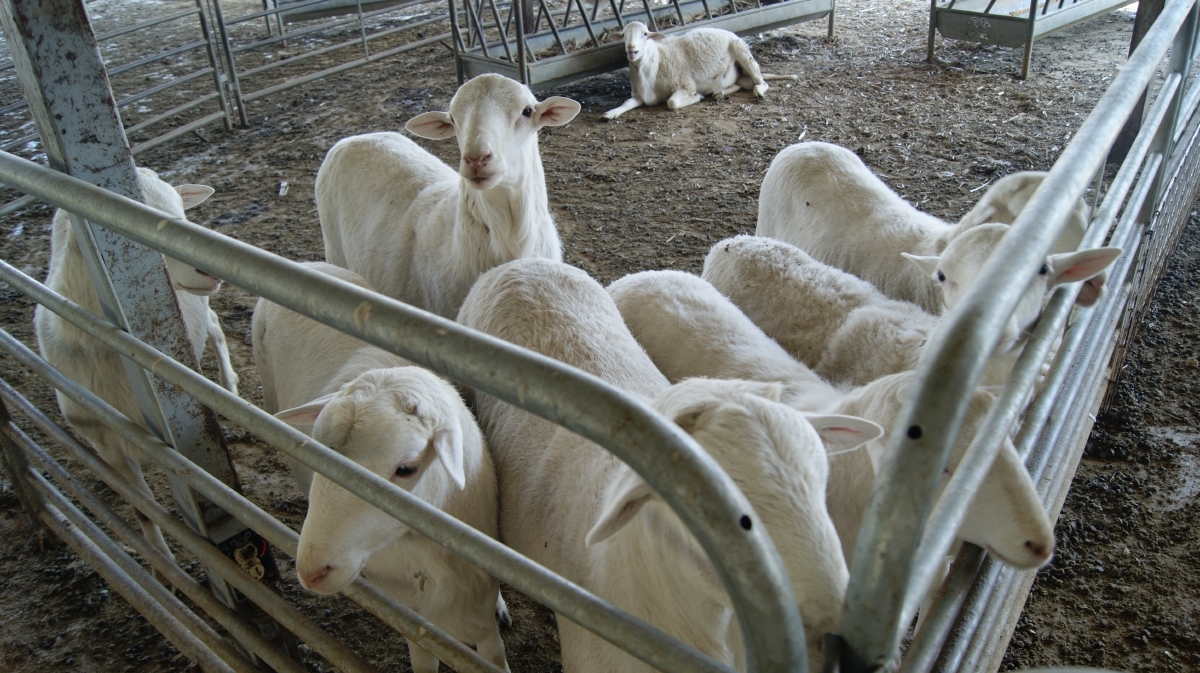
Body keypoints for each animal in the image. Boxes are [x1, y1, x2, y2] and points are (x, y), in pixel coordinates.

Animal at [34, 168, 234, 564]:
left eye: (181, 209)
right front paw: (162, 566)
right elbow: (144, 509)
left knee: (216, 326)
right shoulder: (105, 441)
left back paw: (230, 386)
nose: (208, 267)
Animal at [315, 74, 580, 319]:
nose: (476, 159)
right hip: (334, 251)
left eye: (527, 111)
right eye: (452, 119)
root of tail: (355, 138)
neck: (510, 237)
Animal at [602, 22, 797, 119]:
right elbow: (626, 103)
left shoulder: (685, 84)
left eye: (644, 34)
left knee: (761, 83)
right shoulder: (639, 95)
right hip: (738, 75)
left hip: (744, 54)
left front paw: (698, 97)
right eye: (623, 35)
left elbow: (671, 103)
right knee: (740, 84)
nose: (631, 48)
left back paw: (758, 93)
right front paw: (610, 113)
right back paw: (719, 93)